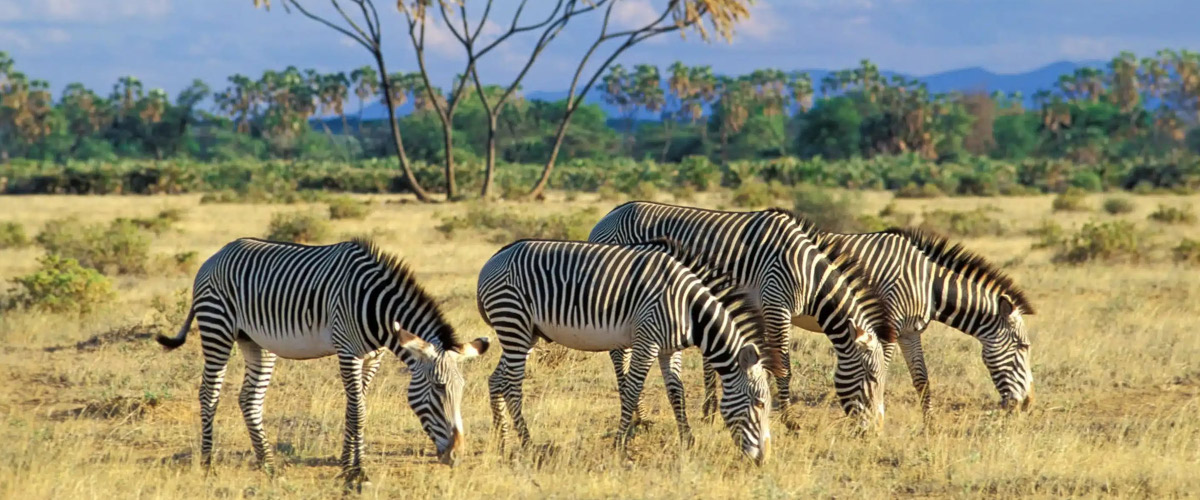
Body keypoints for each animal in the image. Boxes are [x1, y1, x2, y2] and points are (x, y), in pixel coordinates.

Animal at [155, 238, 489, 488]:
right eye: (437, 389)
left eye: (462, 390)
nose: (456, 456)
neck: (376, 308)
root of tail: (216, 255)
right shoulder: (347, 350)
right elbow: (358, 411)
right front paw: (356, 472)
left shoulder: (373, 357)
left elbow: (355, 408)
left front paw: (349, 467)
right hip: (217, 328)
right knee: (208, 394)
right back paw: (208, 464)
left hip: (255, 341)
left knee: (249, 399)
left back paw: (268, 464)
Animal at [475, 238, 783, 463]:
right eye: (759, 404)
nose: (764, 459)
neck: (690, 308)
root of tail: (493, 258)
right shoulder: (647, 340)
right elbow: (633, 388)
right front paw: (621, 443)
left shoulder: (669, 349)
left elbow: (677, 392)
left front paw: (688, 440)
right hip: (513, 321)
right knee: (512, 385)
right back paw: (527, 443)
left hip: (526, 333)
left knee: (495, 379)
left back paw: (502, 440)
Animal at [587, 201, 895, 426]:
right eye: (872, 377)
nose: (876, 429)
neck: (808, 274)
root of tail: (608, 215)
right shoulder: (776, 304)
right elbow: (784, 367)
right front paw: (789, 421)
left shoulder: (765, 309)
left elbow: (765, 362)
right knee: (619, 355)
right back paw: (637, 416)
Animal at [812, 227, 1035, 414]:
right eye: (1023, 346)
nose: (1028, 403)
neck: (928, 285)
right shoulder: (888, 329)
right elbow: (879, 372)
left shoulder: (910, 332)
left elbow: (922, 380)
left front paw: (929, 428)